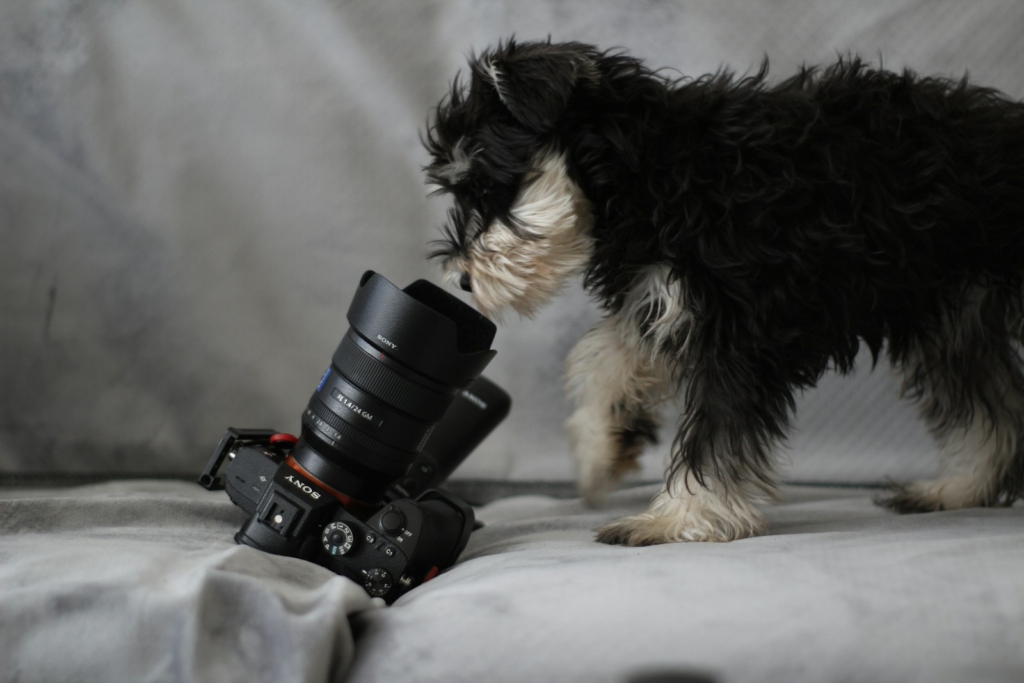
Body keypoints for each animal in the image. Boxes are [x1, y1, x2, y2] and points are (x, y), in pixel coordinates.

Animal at [419, 41, 1019, 544]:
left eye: (487, 187)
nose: (462, 279)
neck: (654, 168)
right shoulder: (665, 298)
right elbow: (606, 359)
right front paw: (600, 449)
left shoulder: (735, 332)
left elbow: (713, 433)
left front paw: (677, 518)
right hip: (957, 315)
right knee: (988, 408)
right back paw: (957, 489)